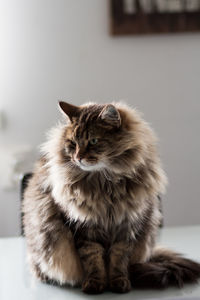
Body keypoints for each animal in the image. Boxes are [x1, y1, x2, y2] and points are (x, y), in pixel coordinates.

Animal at [22, 100, 200, 292]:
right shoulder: (83, 227)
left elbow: (118, 260)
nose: (77, 157)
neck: (105, 186)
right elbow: (93, 259)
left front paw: (119, 283)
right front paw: (94, 284)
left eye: (93, 141)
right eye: (72, 143)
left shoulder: (126, 226)